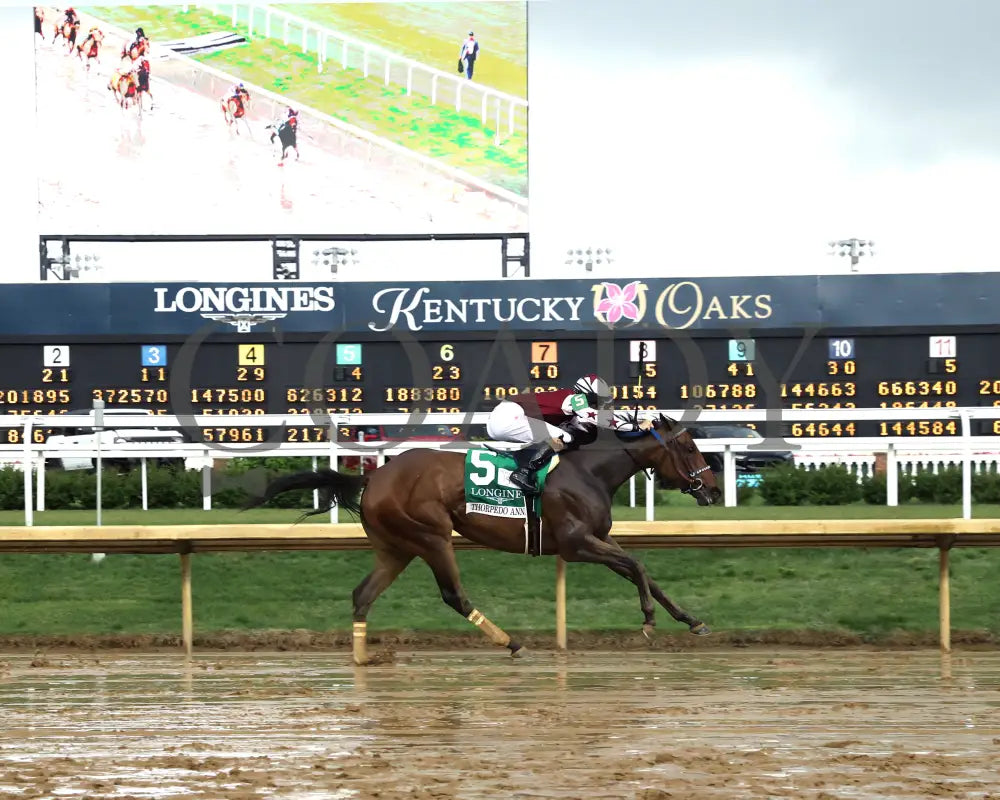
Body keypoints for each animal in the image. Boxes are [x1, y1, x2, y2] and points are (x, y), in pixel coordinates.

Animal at [248, 412, 720, 664]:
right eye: (690, 449)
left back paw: (363, 658)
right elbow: (638, 566)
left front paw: (693, 620)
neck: (588, 470)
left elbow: (645, 573)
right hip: (432, 537)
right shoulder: (575, 544)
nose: (713, 491)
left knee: (362, 595)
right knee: (454, 595)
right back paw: (511, 642)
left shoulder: (598, 539)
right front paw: (648, 621)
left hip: (396, 548)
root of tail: (374, 477)